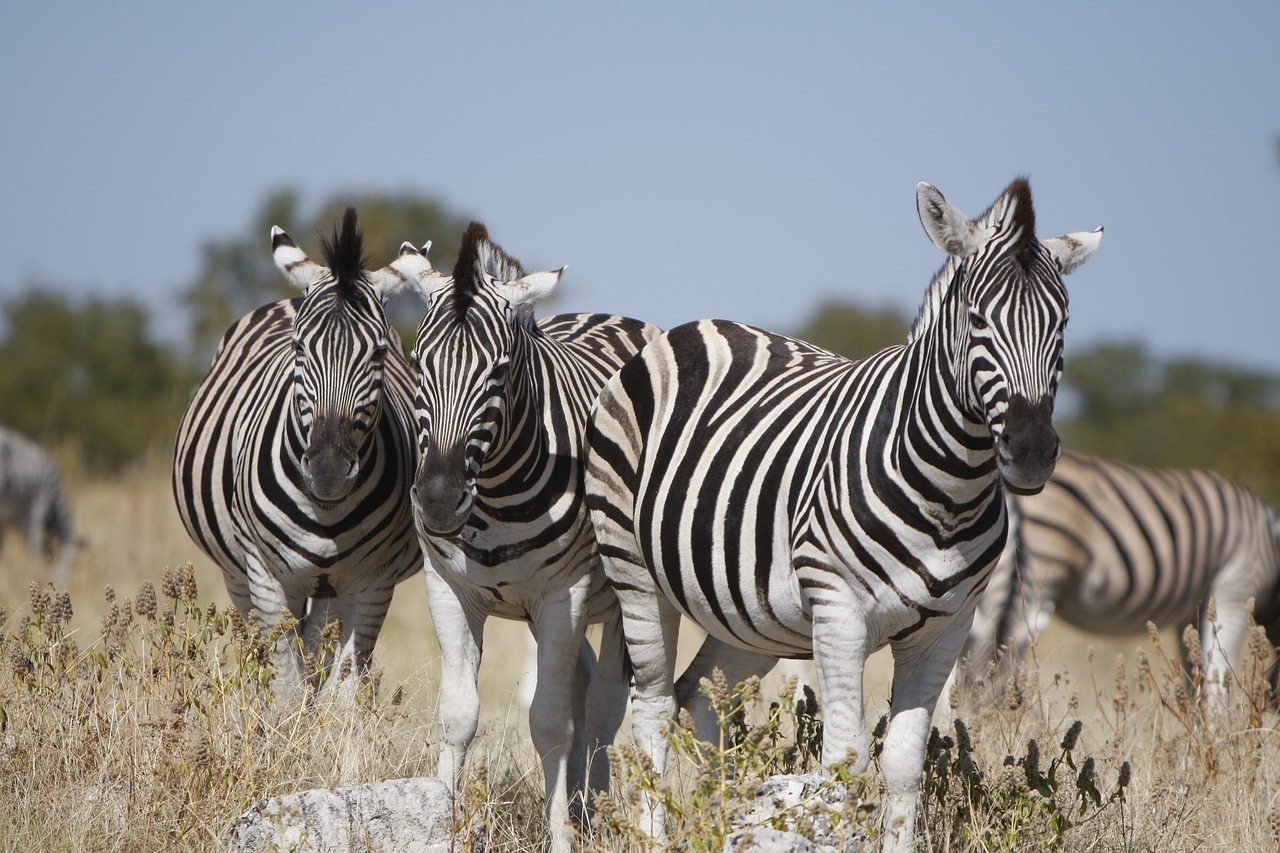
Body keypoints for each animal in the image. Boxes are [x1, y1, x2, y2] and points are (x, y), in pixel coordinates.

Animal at [0, 422, 79, 578]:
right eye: (70, 563)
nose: (57, 580)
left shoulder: (5, 519)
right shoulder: (35, 507)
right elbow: (33, 548)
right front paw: (33, 572)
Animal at [170, 208, 417, 696]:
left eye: (379, 353)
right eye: (299, 348)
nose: (328, 471)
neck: (326, 514)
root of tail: (288, 298)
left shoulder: (373, 583)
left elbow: (342, 692)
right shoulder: (266, 579)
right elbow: (285, 688)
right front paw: (283, 716)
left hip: (330, 588)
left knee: (318, 650)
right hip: (239, 575)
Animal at [394, 220, 660, 850]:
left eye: (497, 371)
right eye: (417, 363)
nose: (437, 500)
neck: (491, 497)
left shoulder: (563, 595)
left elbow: (550, 723)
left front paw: (561, 834)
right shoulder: (449, 591)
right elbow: (459, 715)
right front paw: (444, 824)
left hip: (622, 598)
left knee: (608, 707)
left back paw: (601, 814)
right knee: (588, 699)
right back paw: (589, 806)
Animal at [586, 175, 1100, 845]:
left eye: (1061, 323)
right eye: (976, 318)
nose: (1033, 452)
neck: (950, 493)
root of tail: (689, 329)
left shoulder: (947, 630)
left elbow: (903, 764)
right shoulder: (838, 614)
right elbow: (844, 760)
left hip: (747, 613)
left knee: (698, 698)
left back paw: (718, 819)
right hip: (636, 572)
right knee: (650, 705)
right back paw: (655, 833)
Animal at [962, 448, 1280, 706]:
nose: (1270, 704)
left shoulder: (1192, 613)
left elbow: (1196, 681)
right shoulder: (1235, 588)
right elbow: (1217, 681)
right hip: (1038, 569)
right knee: (1006, 648)